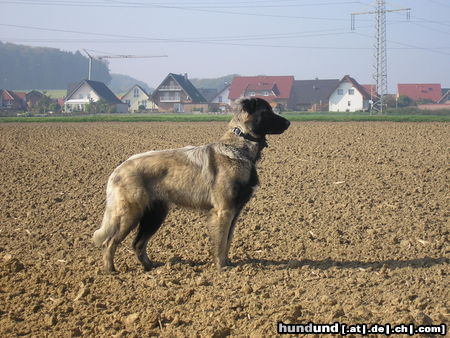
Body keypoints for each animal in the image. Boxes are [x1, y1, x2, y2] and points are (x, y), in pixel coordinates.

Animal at [93, 97, 290, 272]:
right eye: (267, 112)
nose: (289, 122)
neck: (239, 147)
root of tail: (119, 168)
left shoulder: (234, 213)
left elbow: (228, 241)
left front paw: (228, 264)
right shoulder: (224, 211)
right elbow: (221, 243)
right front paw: (222, 268)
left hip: (155, 215)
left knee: (137, 244)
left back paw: (150, 267)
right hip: (131, 215)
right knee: (110, 242)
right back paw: (111, 271)